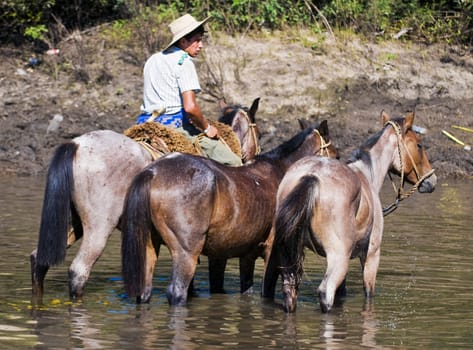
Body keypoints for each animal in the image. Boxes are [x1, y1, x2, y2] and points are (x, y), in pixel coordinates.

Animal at [120, 119, 338, 304]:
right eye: (336, 156)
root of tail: (153, 171)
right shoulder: (271, 251)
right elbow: (266, 292)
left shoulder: (247, 256)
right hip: (186, 252)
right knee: (177, 291)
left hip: (149, 245)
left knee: (144, 291)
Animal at [262, 110, 436, 314]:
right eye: (419, 145)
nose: (432, 180)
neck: (367, 175)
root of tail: (312, 175)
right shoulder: (371, 256)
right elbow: (368, 294)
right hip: (339, 259)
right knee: (325, 293)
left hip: (283, 253)